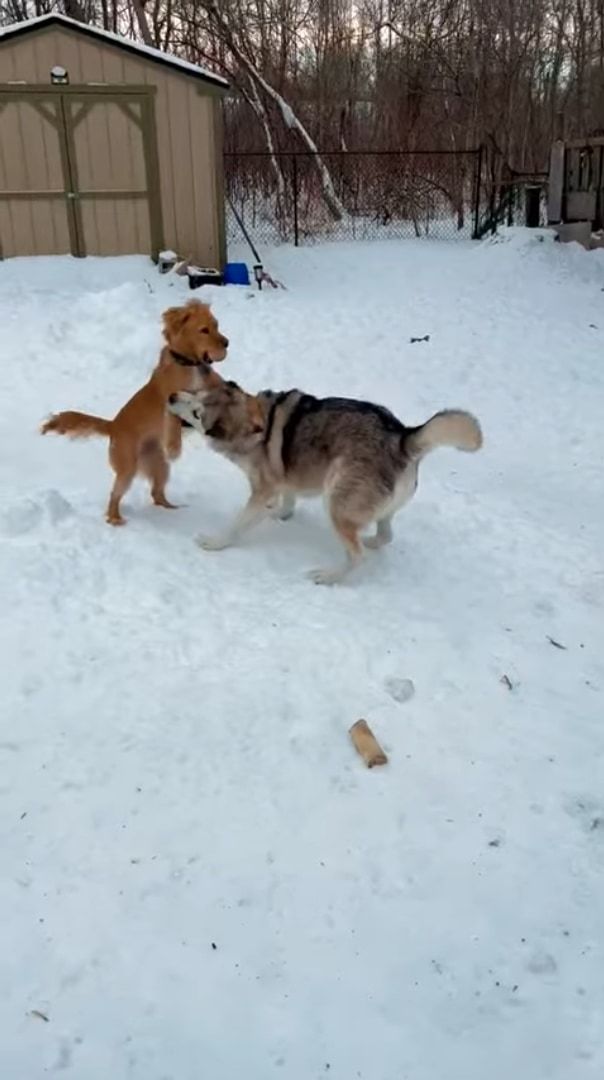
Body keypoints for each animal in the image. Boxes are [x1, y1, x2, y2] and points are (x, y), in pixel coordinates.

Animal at [40, 302, 229, 524]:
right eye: (204, 330)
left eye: (216, 325)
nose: (227, 343)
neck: (190, 366)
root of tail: (113, 426)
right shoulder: (170, 400)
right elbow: (173, 422)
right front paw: (174, 447)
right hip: (127, 468)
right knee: (115, 495)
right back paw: (115, 519)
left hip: (159, 466)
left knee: (157, 493)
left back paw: (172, 509)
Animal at [168, 380, 481, 583]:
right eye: (194, 391)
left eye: (197, 413)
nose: (170, 397)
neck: (255, 425)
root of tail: (402, 437)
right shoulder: (284, 479)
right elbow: (287, 499)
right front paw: (280, 514)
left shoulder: (262, 490)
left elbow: (236, 525)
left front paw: (216, 542)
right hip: (377, 509)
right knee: (385, 535)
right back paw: (369, 539)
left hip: (336, 503)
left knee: (356, 556)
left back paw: (329, 576)